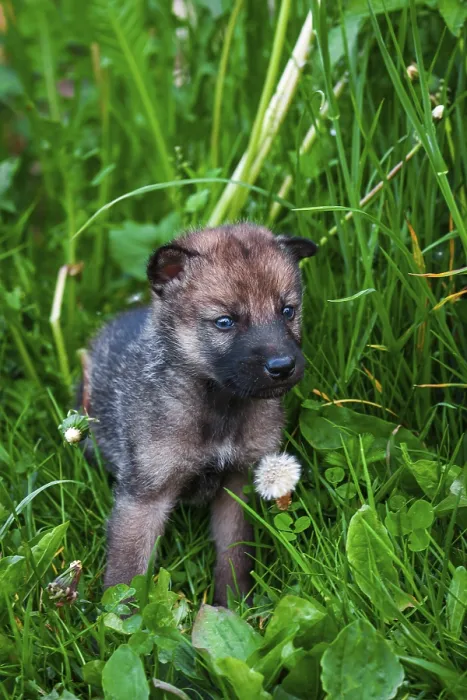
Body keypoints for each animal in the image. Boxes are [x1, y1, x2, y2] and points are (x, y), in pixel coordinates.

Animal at [84, 223, 317, 605]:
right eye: (225, 321)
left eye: (287, 311)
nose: (283, 366)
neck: (221, 407)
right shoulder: (144, 497)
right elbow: (126, 574)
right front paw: (119, 620)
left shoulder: (237, 484)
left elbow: (234, 555)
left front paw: (233, 607)